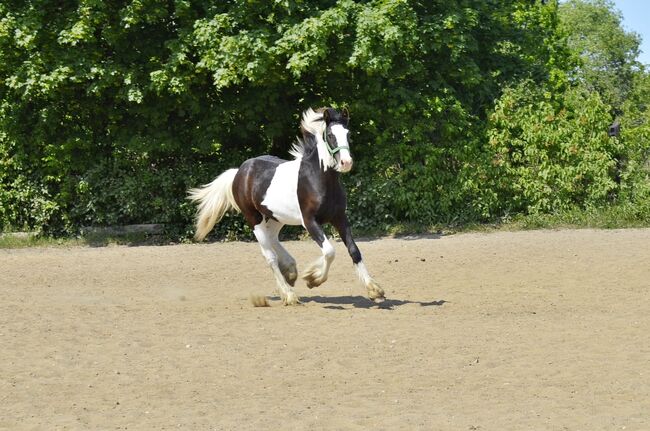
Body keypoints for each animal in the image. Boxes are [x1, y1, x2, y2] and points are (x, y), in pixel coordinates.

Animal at [185, 107, 382, 308]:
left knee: (273, 238)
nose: (346, 163)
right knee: (270, 256)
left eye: (348, 134)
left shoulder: (340, 218)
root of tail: (239, 172)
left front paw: (374, 290)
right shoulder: (309, 221)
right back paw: (289, 294)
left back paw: (290, 271)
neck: (319, 180)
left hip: (276, 217)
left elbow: (354, 250)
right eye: (330, 135)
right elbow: (329, 251)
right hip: (254, 218)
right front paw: (313, 279)